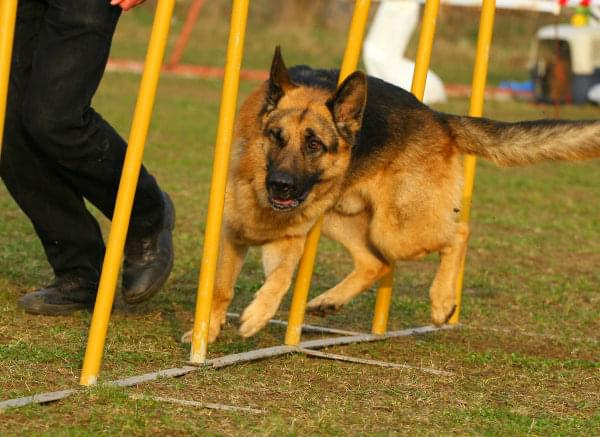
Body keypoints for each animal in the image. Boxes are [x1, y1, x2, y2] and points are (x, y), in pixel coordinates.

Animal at [183, 46, 600, 340]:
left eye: (314, 144)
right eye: (276, 137)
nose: (281, 185)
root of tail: (437, 118)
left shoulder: (289, 241)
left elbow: (281, 279)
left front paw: (256, 316)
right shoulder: (234, 234)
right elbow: (220, 288)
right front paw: (208, 330)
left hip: (396, 229)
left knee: (458, 233)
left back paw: (442, 302)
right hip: (344, 218)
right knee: (376, 263)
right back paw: (329, 300)